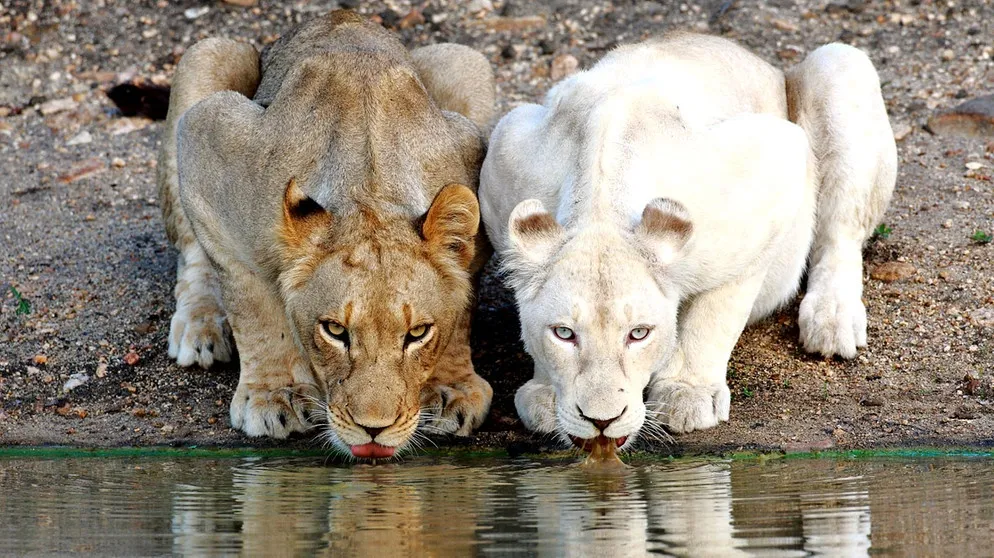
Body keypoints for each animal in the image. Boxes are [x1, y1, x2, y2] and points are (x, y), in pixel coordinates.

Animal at [476, 32, 896, 448]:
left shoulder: (773, 169)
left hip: (839, 66)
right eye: (564, 333)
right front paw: (545, 394)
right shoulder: (505, 151)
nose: (602, 421)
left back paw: (832, 321)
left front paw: (686, 394)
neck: (600, 199)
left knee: (841, 231)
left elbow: (715, 313)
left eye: (639, 334)